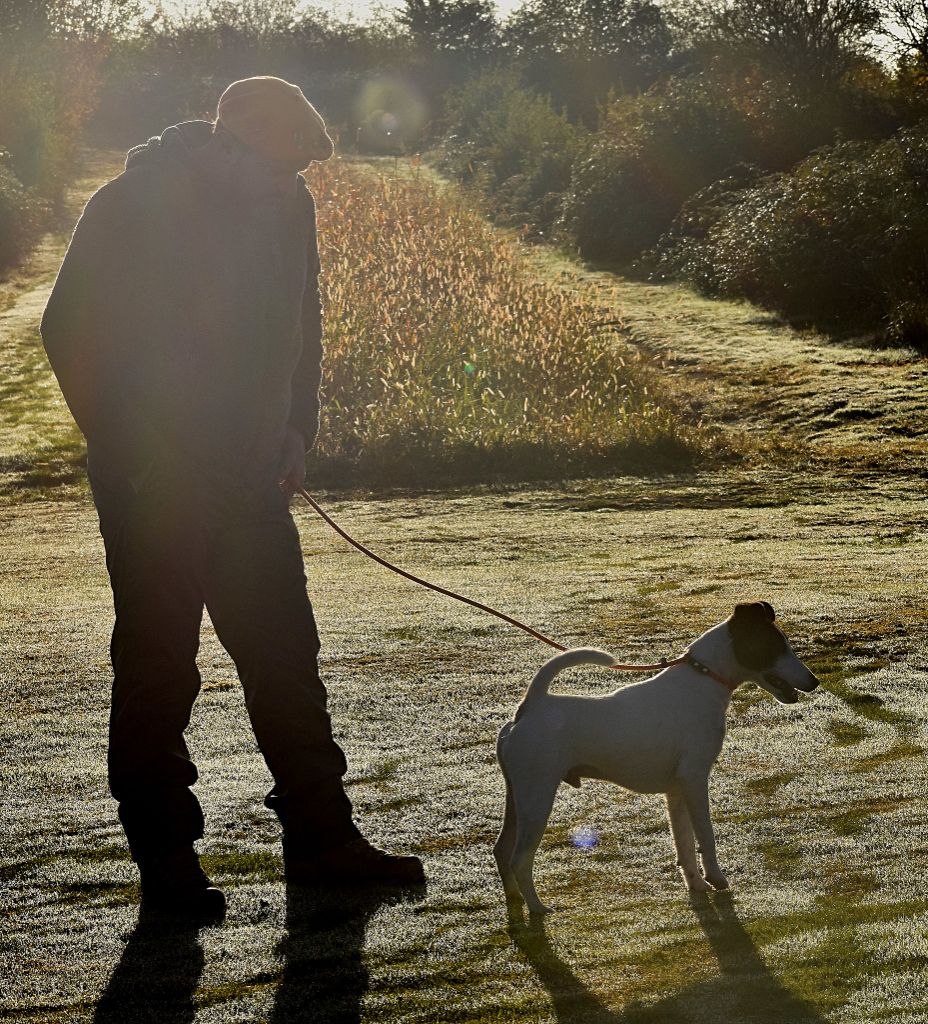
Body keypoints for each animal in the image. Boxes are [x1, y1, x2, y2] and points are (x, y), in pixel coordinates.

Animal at [491, 598, 819, 913]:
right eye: (775, 647)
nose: (814, 681)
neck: (702, 681)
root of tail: (530, 706)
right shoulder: (695, 780)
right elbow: (705, 836)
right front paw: (716, 878)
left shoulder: (677, 790)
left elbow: (684, 843)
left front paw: (696, 884)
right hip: (537, 797)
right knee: (520, 858)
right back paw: (538, 908)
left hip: (517, 796)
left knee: (502, 850)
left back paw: (515, 901)